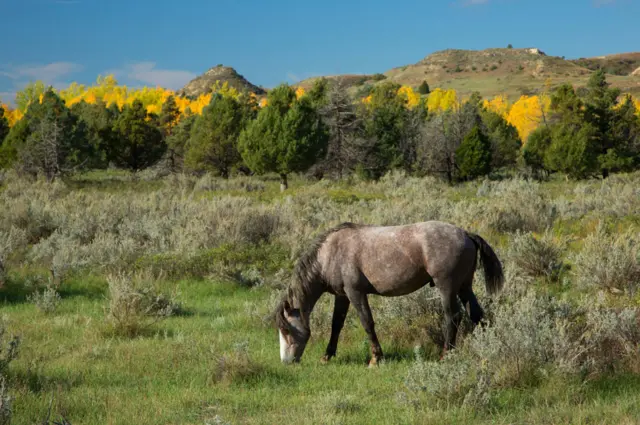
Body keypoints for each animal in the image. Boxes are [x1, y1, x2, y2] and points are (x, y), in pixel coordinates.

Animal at [276, 219, 504, 364]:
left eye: (286, 330)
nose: (286, 361)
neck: (330, 252)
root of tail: (466, 234)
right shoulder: (342, 296)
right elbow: (336, 325)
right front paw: (327, 355)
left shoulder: (355, 293)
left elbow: (367, 323)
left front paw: (376, 358)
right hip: (465, 287)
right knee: (477, 315)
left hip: (447, 287)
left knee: (453, 316)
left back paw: (446, 354)